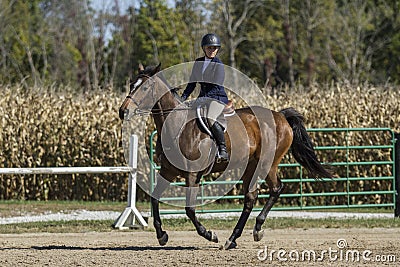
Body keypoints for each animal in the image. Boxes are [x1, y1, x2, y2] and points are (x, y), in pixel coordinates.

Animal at [119, 63, 334, 250]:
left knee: (275, 189)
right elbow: (154, 199)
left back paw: (255, 229)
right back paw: (234, 238)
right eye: (131, 85)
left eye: (145, 87)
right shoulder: (168, 171)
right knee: (251, 197)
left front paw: (209, 234)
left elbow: (190, 209)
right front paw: (161, 235)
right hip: (250, 166)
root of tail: (281, 116)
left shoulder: (192, 175)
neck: (177, 125)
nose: (123, 112)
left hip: (267, 164)